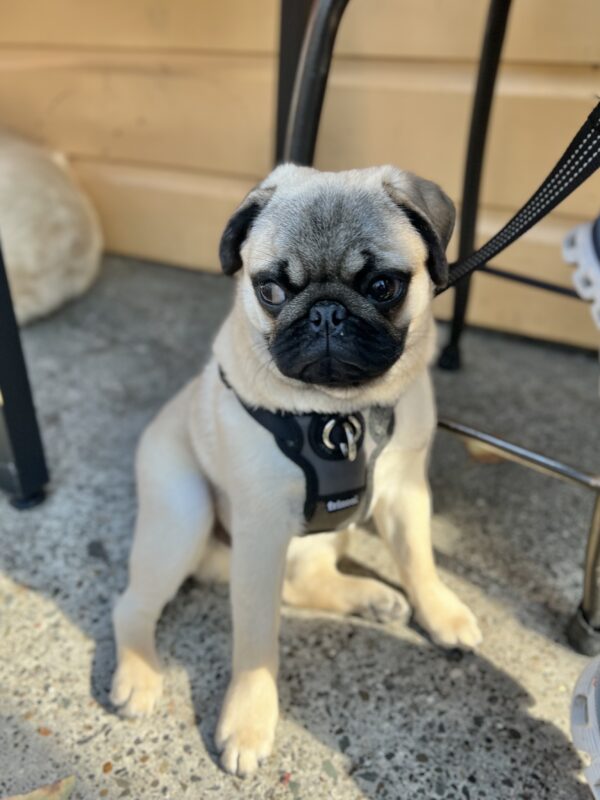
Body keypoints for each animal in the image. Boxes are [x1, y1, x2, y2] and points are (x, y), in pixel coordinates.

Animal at [109, 162, 482, 776]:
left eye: (383, 286)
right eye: (272, 289)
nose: (326, 312)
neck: (337, 413)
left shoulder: (405, 492)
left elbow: (419, 560)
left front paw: (440, 612)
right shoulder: (261, 531)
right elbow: (257, 639)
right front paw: (249, 719)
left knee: (302, 581)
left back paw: (370, 598)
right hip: (182, 518)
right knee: (133, 604)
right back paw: (139, 675)